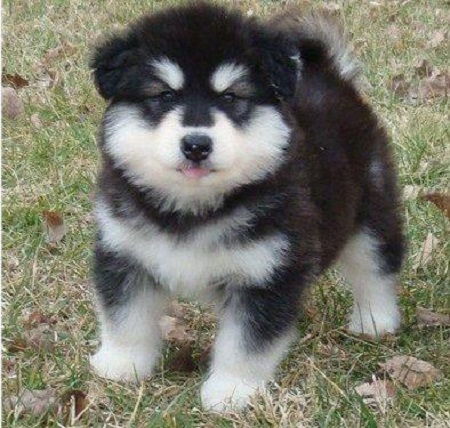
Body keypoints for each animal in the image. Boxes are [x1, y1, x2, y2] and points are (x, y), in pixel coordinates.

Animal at [89, 2, 404, 412]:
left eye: (230, 98)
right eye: (164, 95)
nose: (196, 145)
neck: (195, 207)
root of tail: (329, 74)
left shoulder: (269, 272)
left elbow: (245, 344)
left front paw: (231, 392)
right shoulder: (124, 253)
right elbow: (125, 318)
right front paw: (121, 365)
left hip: (371, 207)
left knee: (375, 266)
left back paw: (375, 320)